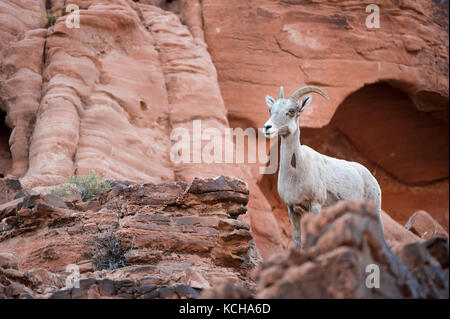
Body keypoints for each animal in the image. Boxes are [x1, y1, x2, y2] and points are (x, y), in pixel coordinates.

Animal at [266, 86, 384, 249]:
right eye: (271, 110)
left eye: (291, 111)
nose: (267, 127)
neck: (296, 175)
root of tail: (372, 179)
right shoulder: (292, 210)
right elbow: (298, 240)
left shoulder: (316, 206)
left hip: (374, 211)